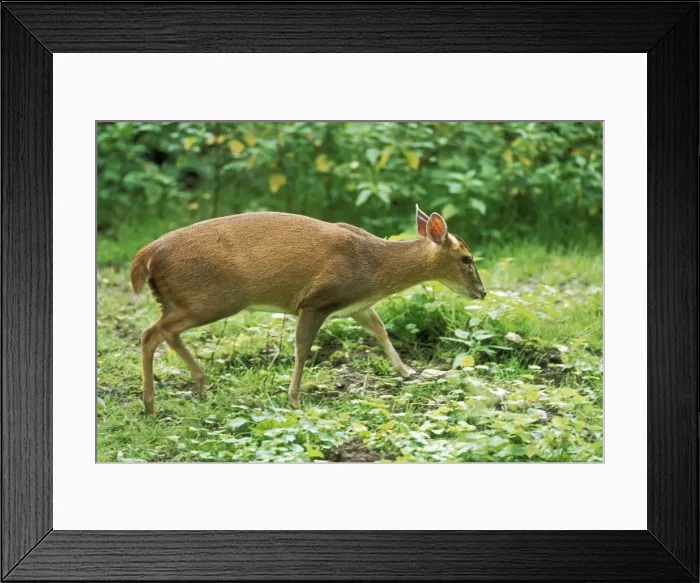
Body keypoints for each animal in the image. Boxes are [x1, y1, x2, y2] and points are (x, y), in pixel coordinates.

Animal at [130, 205, 486, 413]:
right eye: (466, 258)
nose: (481, 291)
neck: (374, 268)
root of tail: (146, 255)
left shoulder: (355, 305)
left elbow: (380, 329)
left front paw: (407, 371)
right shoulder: (317, 300)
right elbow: (302, 349)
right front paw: (295, 399)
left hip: (177, 299)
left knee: (153, 333)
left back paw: (169, 396)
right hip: (211, 299)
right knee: (157, 332)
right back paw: (177, 392)